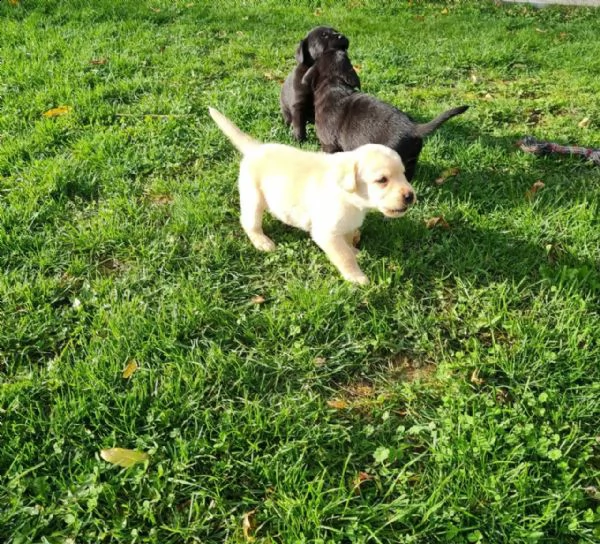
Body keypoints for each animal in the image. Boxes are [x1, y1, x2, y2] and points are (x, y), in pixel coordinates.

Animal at [209, 107, 414, 284]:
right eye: (382, 180)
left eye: (404, 174)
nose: (410, 196)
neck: (351, 199)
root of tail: (256, 148)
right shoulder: (326, 233)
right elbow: (344, 256)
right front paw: (356, 277)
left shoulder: (347, 225)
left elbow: (348, 241)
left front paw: (355, 251)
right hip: (253, 197)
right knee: (249, 222)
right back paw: (262, 241)